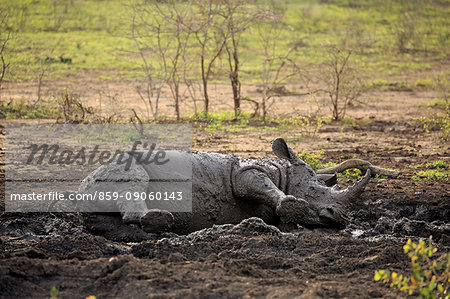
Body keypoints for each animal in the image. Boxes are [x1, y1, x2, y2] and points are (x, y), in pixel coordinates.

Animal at [73, 138, 370, 234]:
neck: (284, 171)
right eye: (315, 191)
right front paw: (293, 206)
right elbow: (259, 185)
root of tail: (83, 184)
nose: (341, 218)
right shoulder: (246, 171)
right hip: (119, 166)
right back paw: (161, 222)